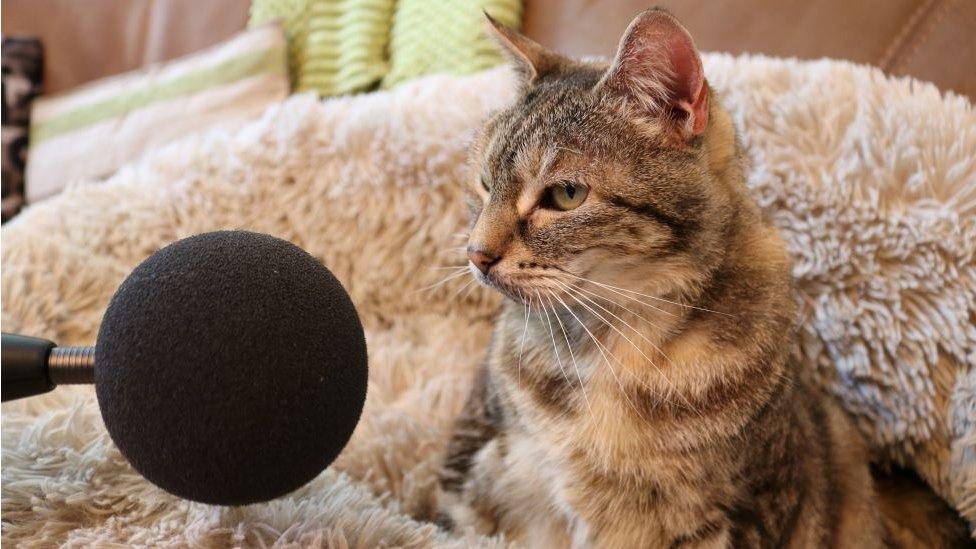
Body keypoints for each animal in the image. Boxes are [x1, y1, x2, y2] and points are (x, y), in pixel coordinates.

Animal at [436, 8, 892, 548]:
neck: (615, 341)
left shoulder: (748, 508)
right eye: (484, 185)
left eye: (566, 194)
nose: (476, 254)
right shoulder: (476, 461)